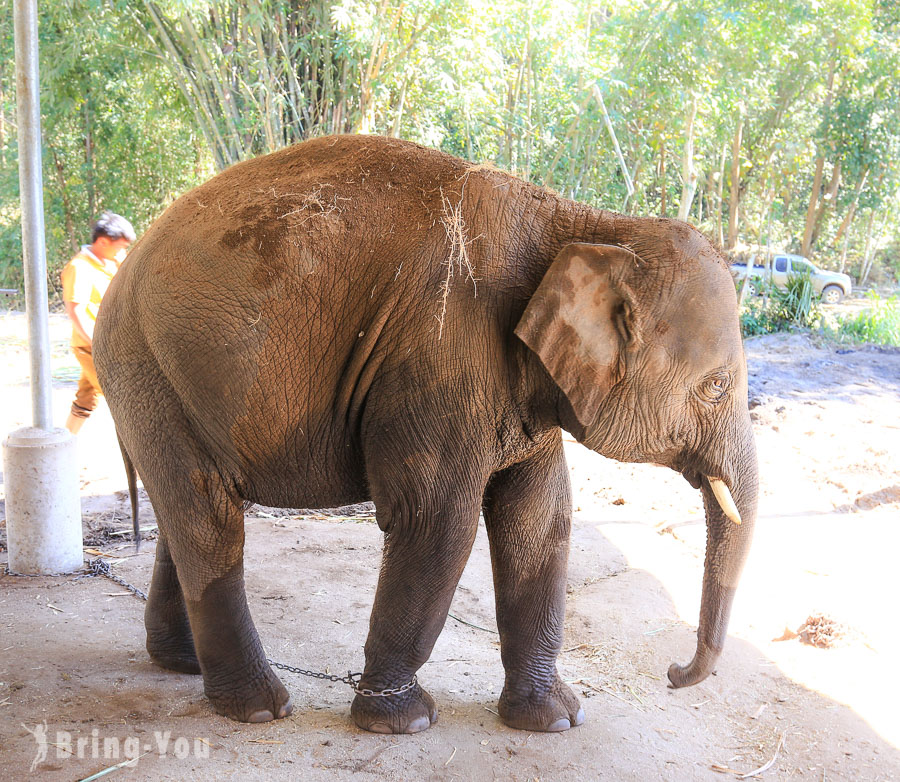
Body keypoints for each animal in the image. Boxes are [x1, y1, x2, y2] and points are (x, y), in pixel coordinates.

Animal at [93, 132, 752, 740]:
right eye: (716, 388)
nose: (673, 674)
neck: (584, 223)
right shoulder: (441, 356)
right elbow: (437, 521)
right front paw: (401, 722)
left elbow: (540, 519)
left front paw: (556, 720)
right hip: (146, 367)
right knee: (208, 516)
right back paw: (258, 708)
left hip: (160, 381)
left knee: (186, 512)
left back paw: (180, 666)